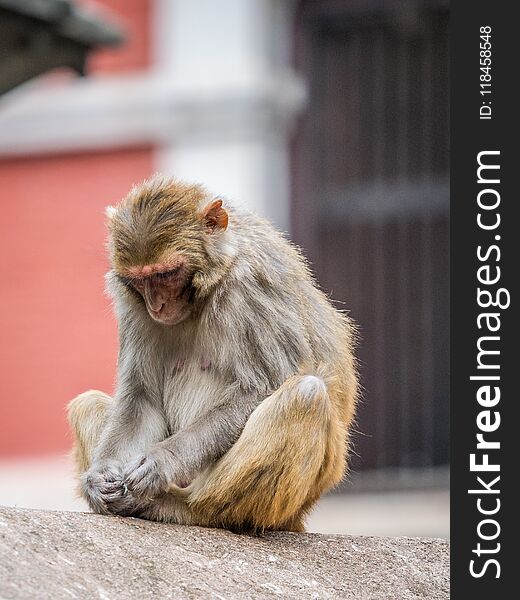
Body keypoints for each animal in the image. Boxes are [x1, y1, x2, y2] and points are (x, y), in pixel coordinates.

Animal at [68, 176, 358, 532]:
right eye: (141, 280)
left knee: (306, 395)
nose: (156, 305)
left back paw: (190, 509)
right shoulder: (131, 305)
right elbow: (141, 397)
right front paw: (97, 479)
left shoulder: (249, 287)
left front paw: (162, 462)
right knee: (87, 403)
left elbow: (263, 387)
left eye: (165, 274)